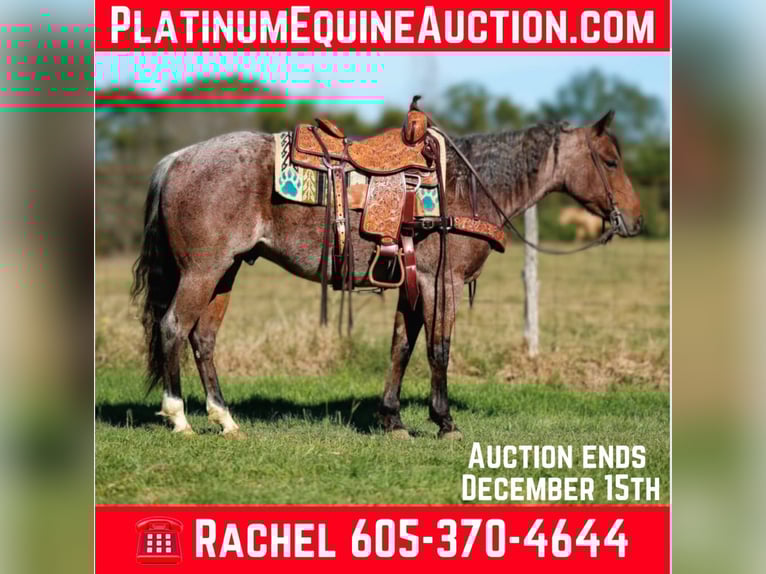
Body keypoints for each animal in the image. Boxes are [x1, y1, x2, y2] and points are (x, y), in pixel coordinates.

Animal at [131, 109, 642, 440]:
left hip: (226, 271)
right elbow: (438, 350)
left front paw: (393, 420)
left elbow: (401, 347)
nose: (635, 221)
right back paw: (179, 418)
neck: (465, 189)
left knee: (203, 339)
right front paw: (445, 422)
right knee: (173, 327)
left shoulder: (412, 283)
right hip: (204, 270)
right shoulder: (441, 283)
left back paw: (225, 420)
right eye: (610, 161)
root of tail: (175, 160)